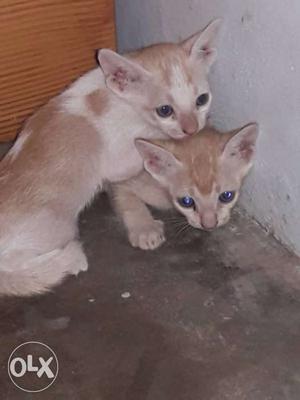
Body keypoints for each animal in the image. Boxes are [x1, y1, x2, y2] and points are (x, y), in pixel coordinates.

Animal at [0, 20, 220, 296]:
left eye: (202, 100)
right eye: (164, 110)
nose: (191, 129)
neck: (114, 97)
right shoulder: (115, 161)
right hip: (56, 227)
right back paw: (68, 261)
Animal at [111, 124, 258, 250]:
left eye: (227, 196)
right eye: (186, 201)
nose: (209, 225)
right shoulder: (122, 175)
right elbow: (128, 201)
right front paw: (145, 229)